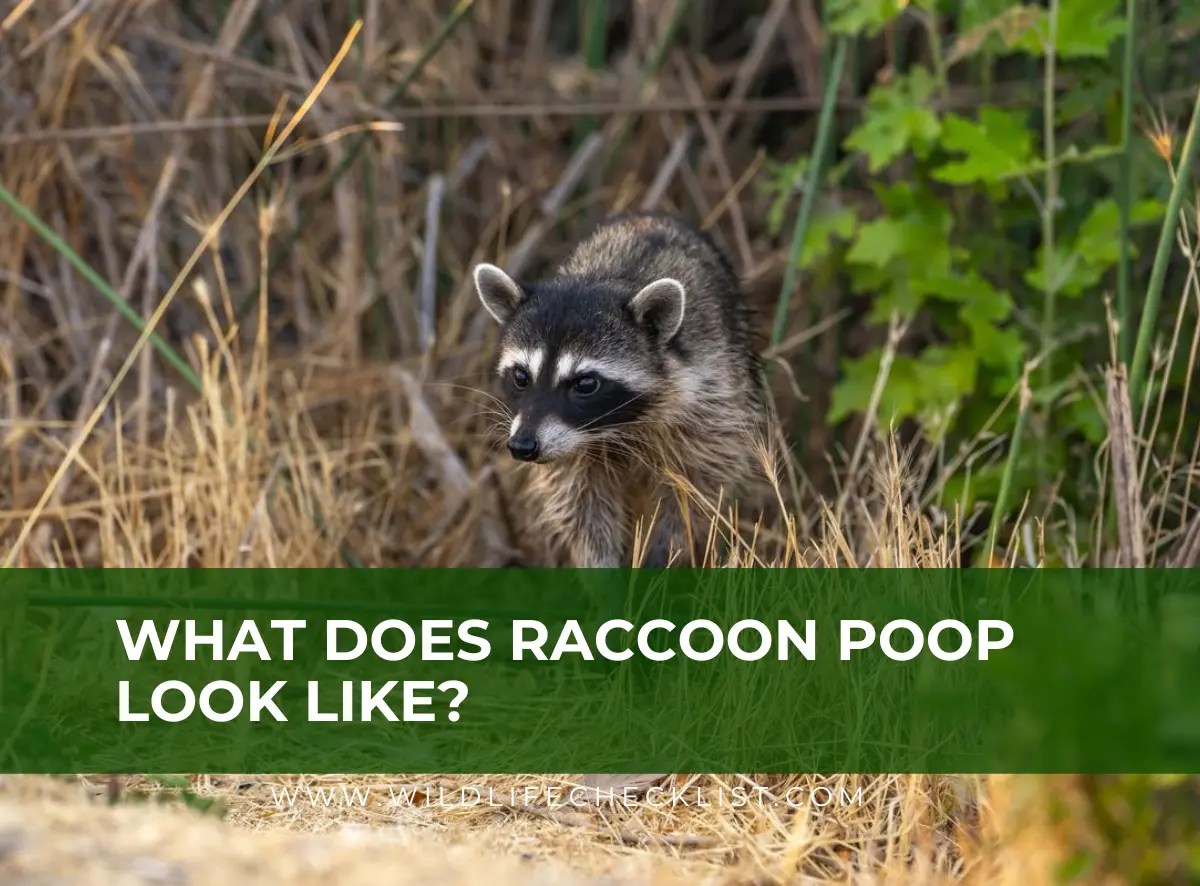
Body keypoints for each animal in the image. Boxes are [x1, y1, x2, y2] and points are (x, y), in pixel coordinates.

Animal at [474, 212, 765, 568]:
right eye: (520, 377)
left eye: (585, 384)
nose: (522, 446)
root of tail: (652, 217)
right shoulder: (570, 453)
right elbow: (580, 506)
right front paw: (602, 566)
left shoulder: (711, 399)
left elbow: (697, 487)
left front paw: (663, 553)